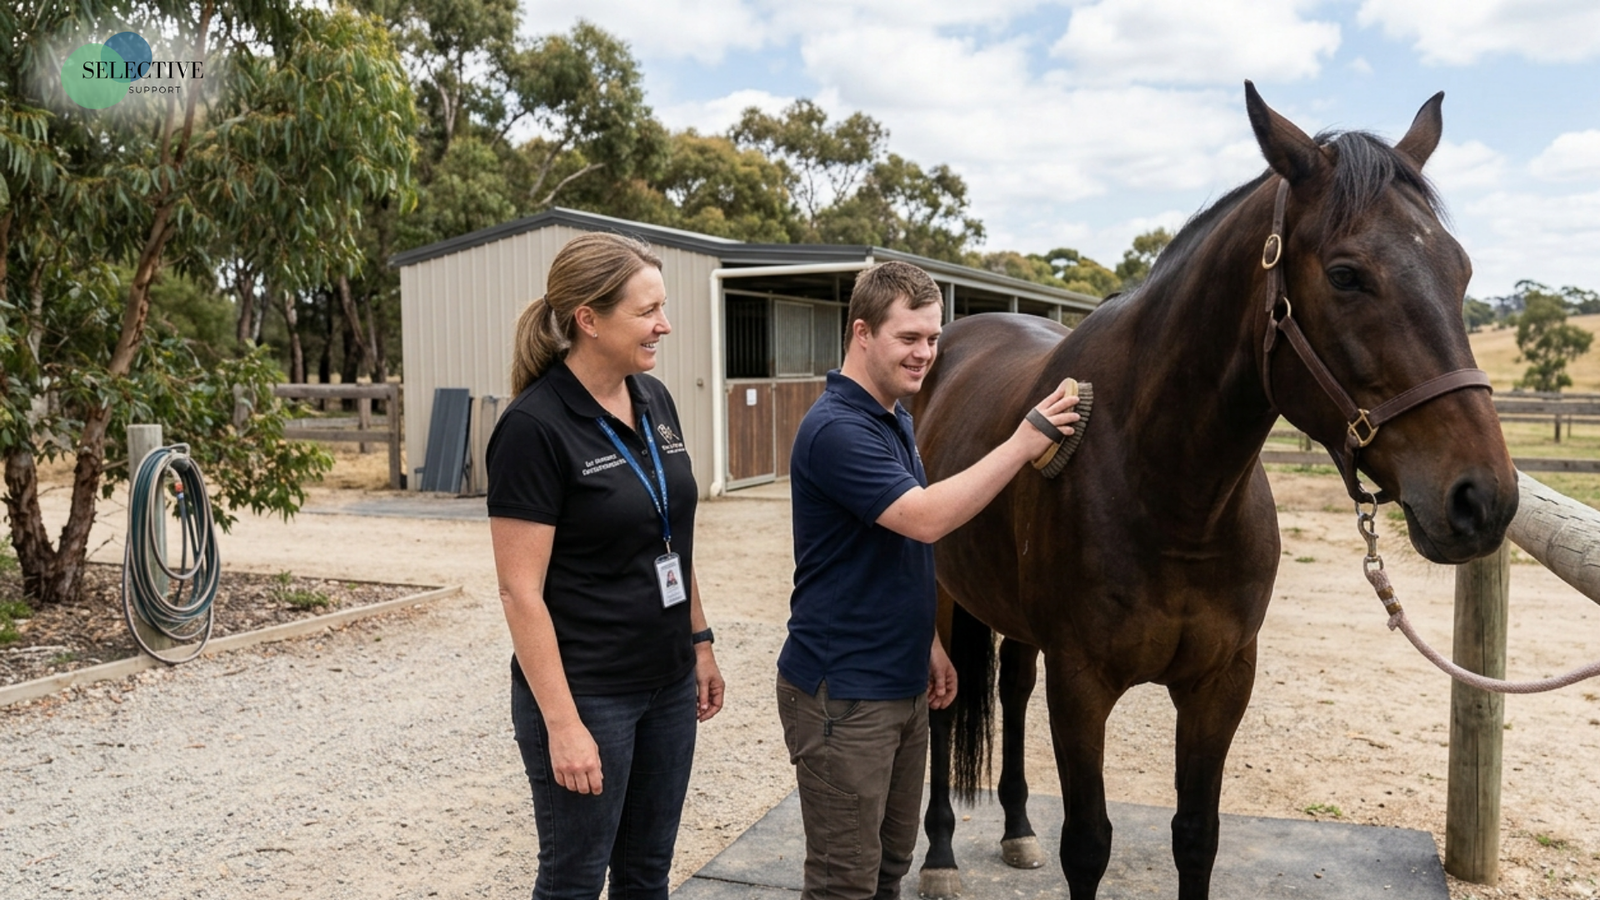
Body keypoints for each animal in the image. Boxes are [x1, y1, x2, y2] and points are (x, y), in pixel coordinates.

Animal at [910, 83, 1519, 900]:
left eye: (1462, 271)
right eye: (1347, 274)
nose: (1483, 498)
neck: (1170, 496)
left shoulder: (1220, 683)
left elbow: (1197, 836)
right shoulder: (1082, 685)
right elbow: (1088, 844)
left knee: (1010, 690)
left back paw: (1015, 829)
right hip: (945, 598)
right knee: (944, 710)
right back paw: (941, 856)